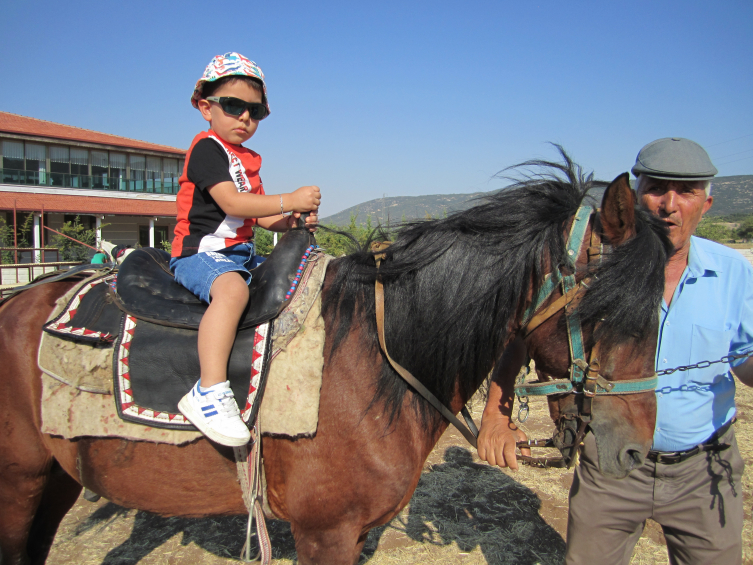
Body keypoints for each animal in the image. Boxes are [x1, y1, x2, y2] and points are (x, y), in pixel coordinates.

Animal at [0, 151, 668, 564]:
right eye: (602, 309)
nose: (636, 454)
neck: (377, 363)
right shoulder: (325, 535)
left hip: (57, 481)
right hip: (20, 483)